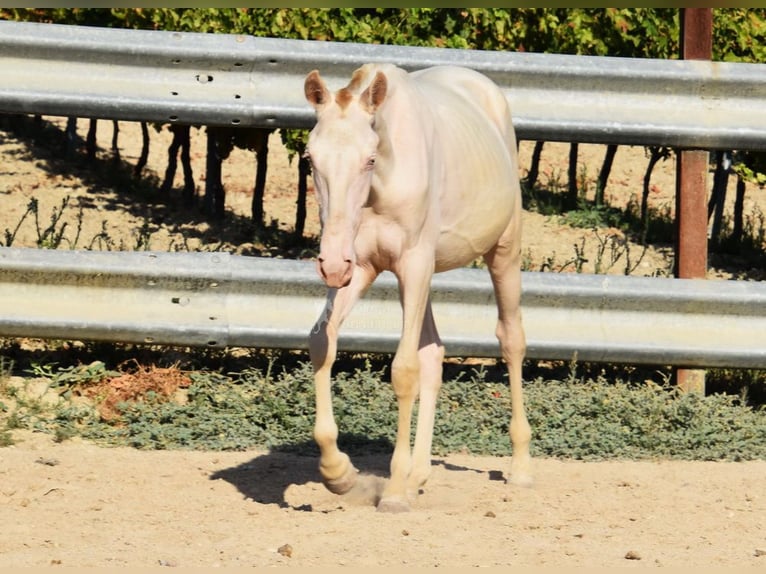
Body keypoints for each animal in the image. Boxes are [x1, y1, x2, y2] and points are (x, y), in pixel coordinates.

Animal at [304, 63, 532, 512]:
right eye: (310, 158)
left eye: (369, 159)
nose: (330, 265)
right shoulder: (363, 267)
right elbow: (323, 342)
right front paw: (339, 474)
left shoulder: (411, 263)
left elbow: (403, 370)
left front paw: (392, 492)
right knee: (433, 352)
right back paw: (418, 475)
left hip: (501, 251)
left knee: (511, 339)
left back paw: (518, 465)